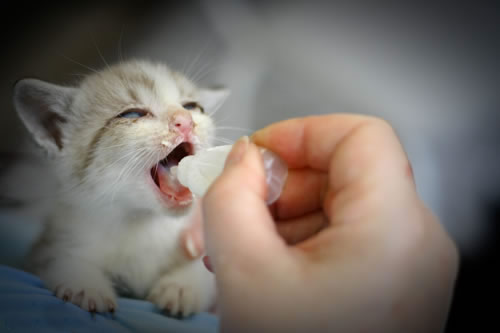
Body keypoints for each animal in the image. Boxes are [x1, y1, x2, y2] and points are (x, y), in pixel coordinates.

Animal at [13, 58, 229, 316]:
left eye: (192, 107)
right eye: (132, 113)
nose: (185, 121)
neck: (141, 223)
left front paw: (183, 285)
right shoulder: (47, 244)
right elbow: (53, 257)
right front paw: (84, 282)